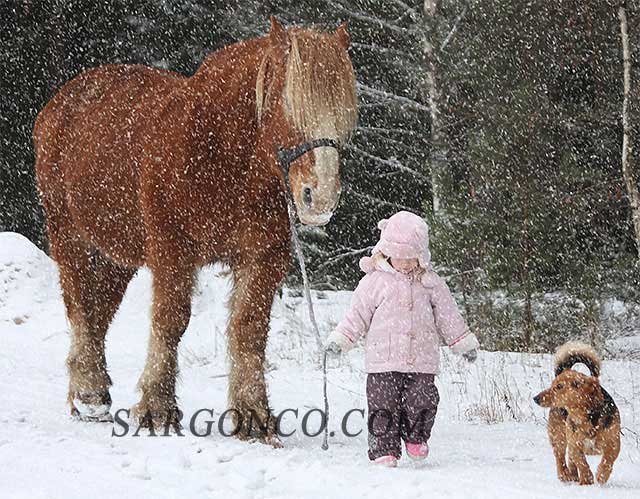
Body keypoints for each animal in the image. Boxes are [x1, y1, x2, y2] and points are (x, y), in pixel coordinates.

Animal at [32, 16, 358, 446]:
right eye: (288, 104)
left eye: (344, 113)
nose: (319, 198)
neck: (217, 154)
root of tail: (62, 102)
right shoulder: (173, 252)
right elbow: (170, 321)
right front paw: (157, 409)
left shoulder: (264, 257)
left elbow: (250, 328)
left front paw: (253, 415)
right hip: (68, 235)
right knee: (80, 307)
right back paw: (89, 392)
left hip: (118, 254)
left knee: (100, 310)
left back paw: (91, 392)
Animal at [536, 342, 620, 486]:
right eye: (552, 385)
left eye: (559, 386)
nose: (535, 398)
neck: (585, 415)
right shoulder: (574, 445)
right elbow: (582, 463)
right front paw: (587, 479)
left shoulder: (614, 443)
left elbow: (608, 460)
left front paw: (602, 475)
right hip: (558, 436)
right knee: (560, 457)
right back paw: (565, 474)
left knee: (570, 461)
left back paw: (574, 476)